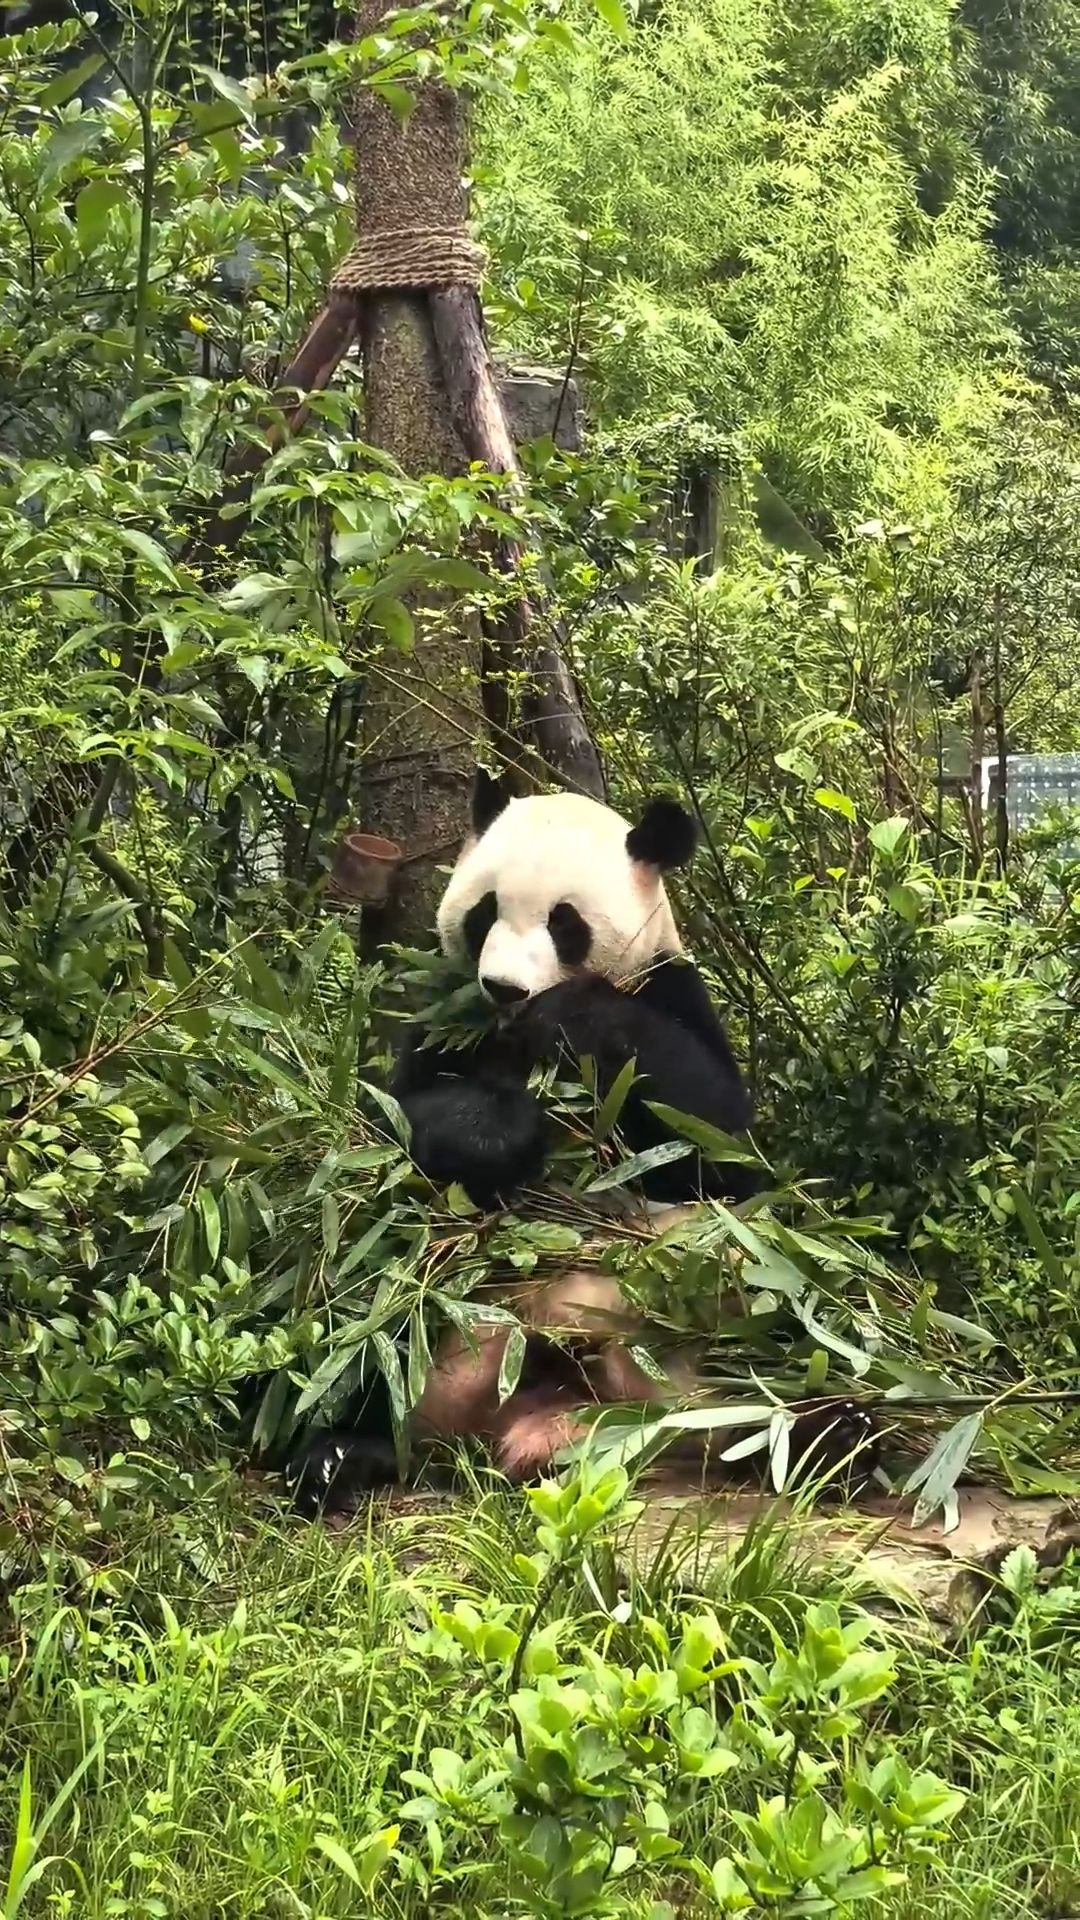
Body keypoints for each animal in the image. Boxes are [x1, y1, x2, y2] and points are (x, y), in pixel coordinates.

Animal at [287, 769, 876, 1514]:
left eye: (563, 922)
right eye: (485, 911)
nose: (504, 988)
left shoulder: (668, 988)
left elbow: (721, 1147)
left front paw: (572, 1021)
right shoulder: (445, 1014)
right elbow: (405, 1123)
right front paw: (507, 1130)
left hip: (725, 1312)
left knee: (782, 1335)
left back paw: (834, 1436)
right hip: (445, 1314)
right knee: (379, 1306)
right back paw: (340, 1455)